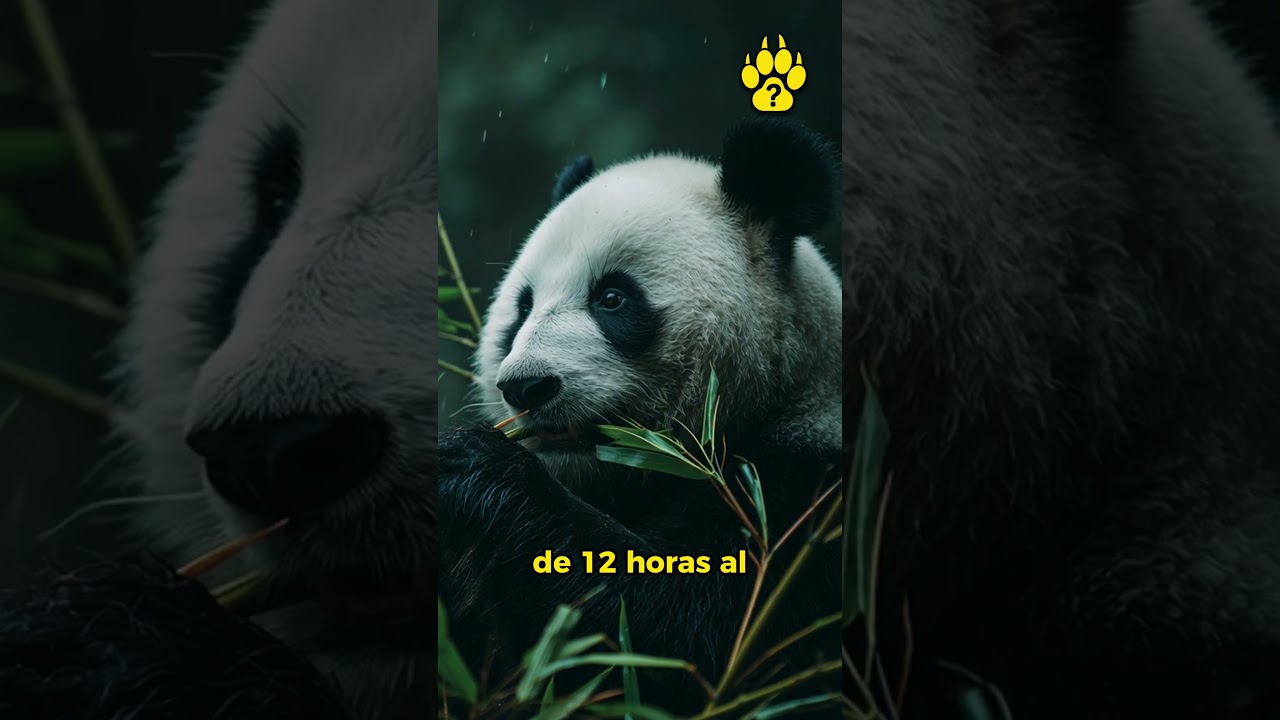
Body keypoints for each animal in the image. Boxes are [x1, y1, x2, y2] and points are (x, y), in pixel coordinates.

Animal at [438, 116, 843, 712]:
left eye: (612, 298)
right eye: (523, 308)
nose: (525, 386)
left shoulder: (800, 506)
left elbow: (683, 635)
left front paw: (474, 465)